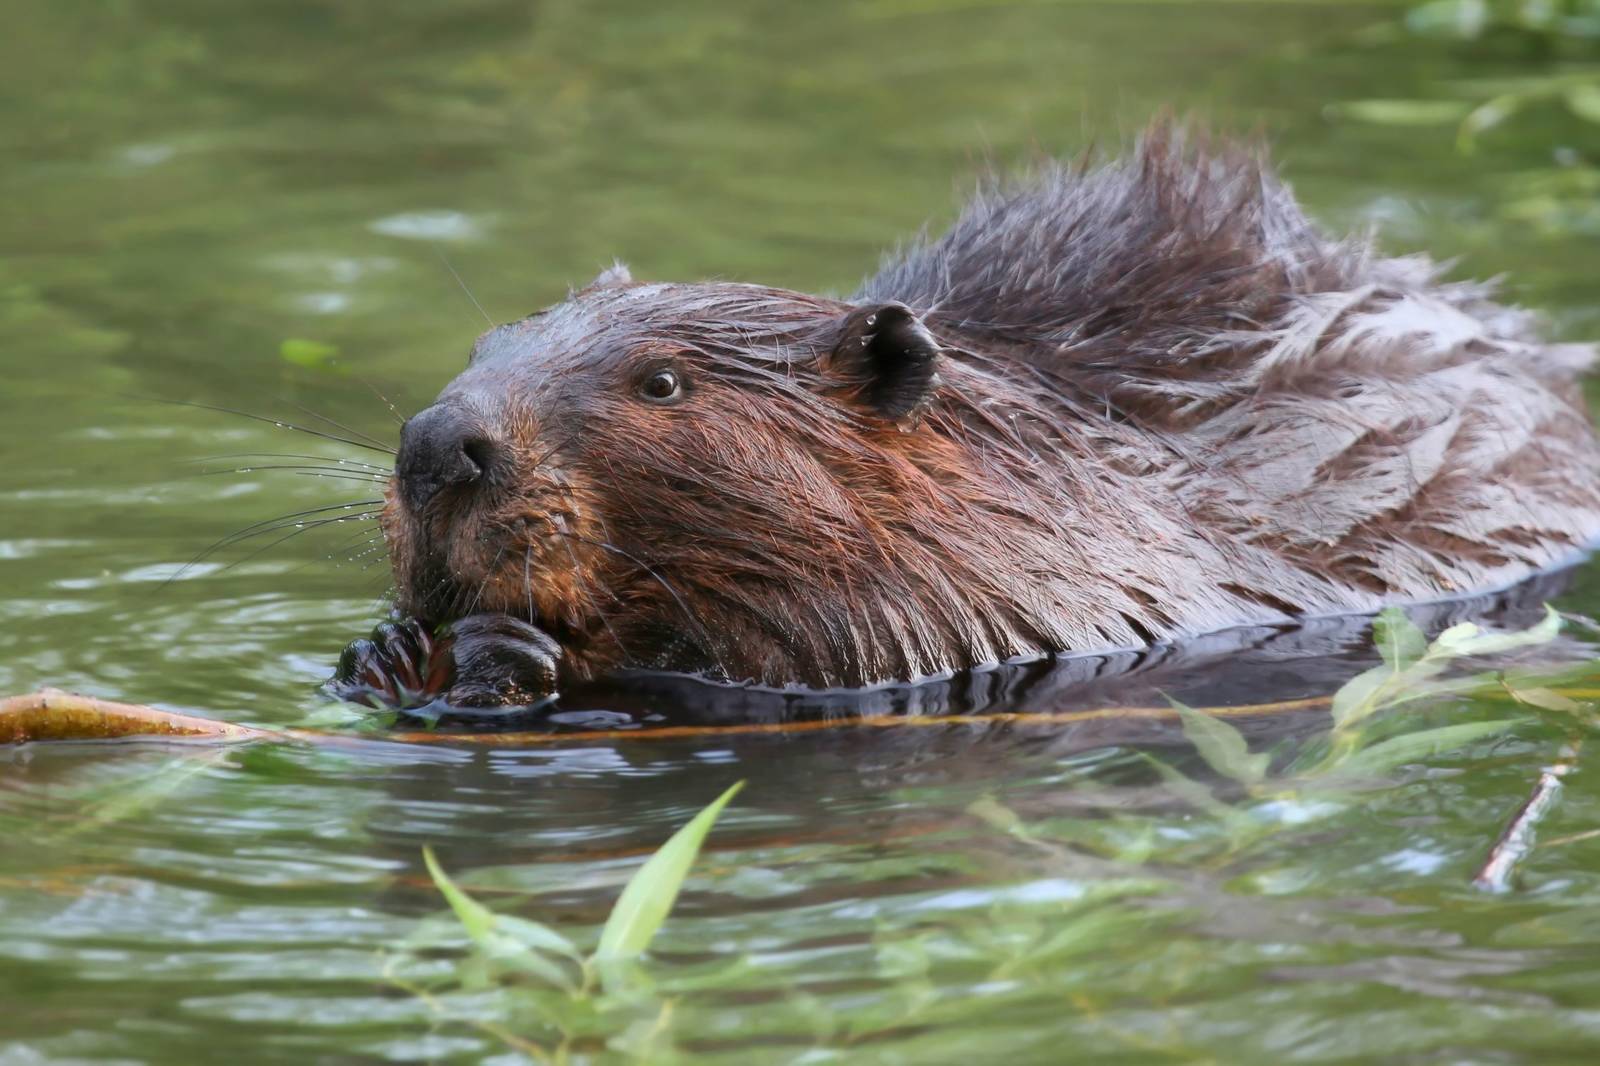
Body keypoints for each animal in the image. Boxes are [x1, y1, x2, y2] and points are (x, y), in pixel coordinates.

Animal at [331, 126, 1600, 704]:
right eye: (486, 344)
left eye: (663, 384)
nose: (436, 446)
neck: (1034, 460)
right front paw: (382, 652)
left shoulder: (1012, 582)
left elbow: (840, 651)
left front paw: (505, 652)